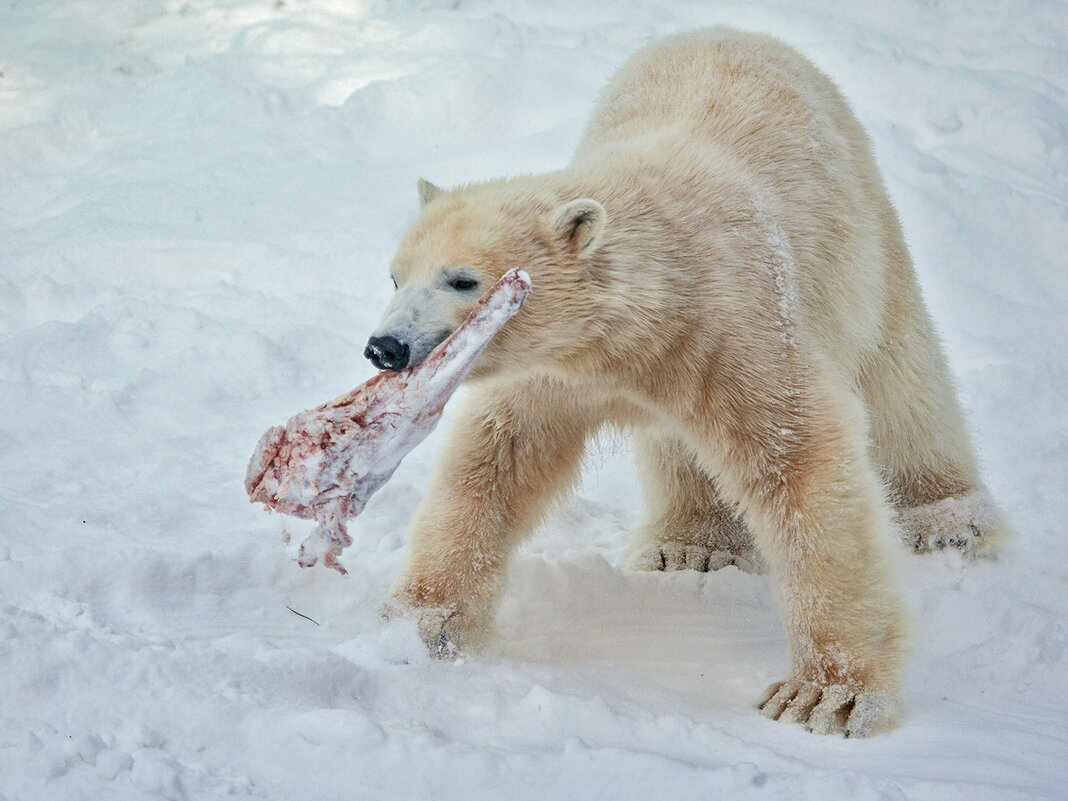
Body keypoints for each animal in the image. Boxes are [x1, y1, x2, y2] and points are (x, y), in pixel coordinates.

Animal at [363, 28, 1003, 739]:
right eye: (396, 276)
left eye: (463, 280)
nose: (385, 348)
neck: (653, 301)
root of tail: (733, 31)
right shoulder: (560, 372)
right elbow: (497, 460)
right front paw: (418, 624)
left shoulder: (736, 322)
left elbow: (803, 463)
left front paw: (826, 697)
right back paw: (689, 547)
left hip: (859, 227)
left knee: (900, 372)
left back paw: (947, 519)